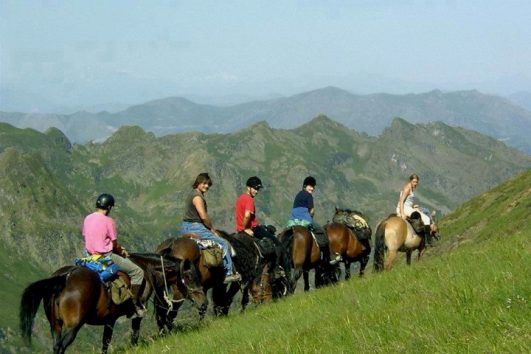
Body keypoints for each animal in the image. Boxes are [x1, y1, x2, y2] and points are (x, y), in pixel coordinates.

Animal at [19, 253, 200, 352]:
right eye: (189, 277)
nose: (203, 303)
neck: (146, 269)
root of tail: (64, 277)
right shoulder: (137, 314)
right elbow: (134, 335)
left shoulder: (109, 319)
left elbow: (105, 342)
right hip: (73, 326)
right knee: (61, 346)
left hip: (55, 325)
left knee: (56, 344)